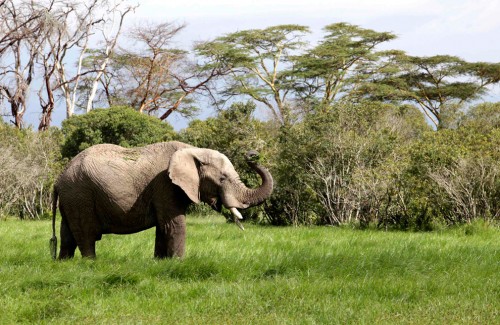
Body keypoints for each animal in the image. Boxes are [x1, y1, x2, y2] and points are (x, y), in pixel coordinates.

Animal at [48, 140, 274, 260]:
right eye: (222, 178)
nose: (252, 154)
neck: (192, 150)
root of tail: (58, 180)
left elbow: (163, 227)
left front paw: (160, 262)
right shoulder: (165, 185)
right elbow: (174, 224)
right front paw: (179, 263)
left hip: (72, 199)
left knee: (67, 235)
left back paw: (64, 264)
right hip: (80, 195)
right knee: (86, 235)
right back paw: (91, 264)